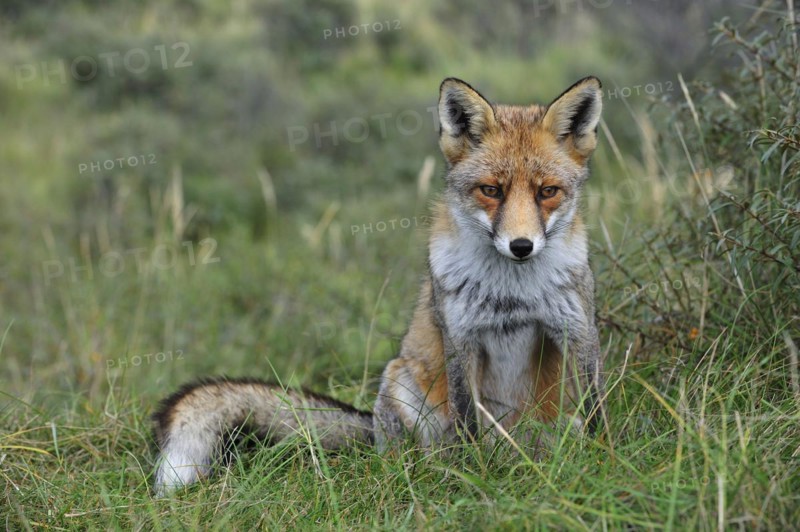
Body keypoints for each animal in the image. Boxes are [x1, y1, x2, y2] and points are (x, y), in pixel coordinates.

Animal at [153, 76, 606, 495]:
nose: (521, 246)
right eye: (491, 190)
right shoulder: (460, 340)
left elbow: (596, 409)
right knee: (417, 455)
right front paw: (474, 475)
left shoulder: (578, 331)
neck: (514, 293)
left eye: (547, 191)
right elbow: (466, 424)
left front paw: (604, 458)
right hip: (401, 384)